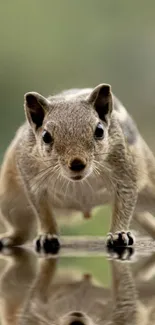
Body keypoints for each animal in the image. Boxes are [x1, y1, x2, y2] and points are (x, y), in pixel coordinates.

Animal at [0, 82, 155, 249]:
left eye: (99, 131)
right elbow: (43, 211)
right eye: (46, 136)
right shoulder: (32, 180)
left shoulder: (124, 172)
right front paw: (48, 235)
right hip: (10, 203)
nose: (77, 163)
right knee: (22, 231)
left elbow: (124, 203)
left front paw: (119, 233)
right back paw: (10, 238)